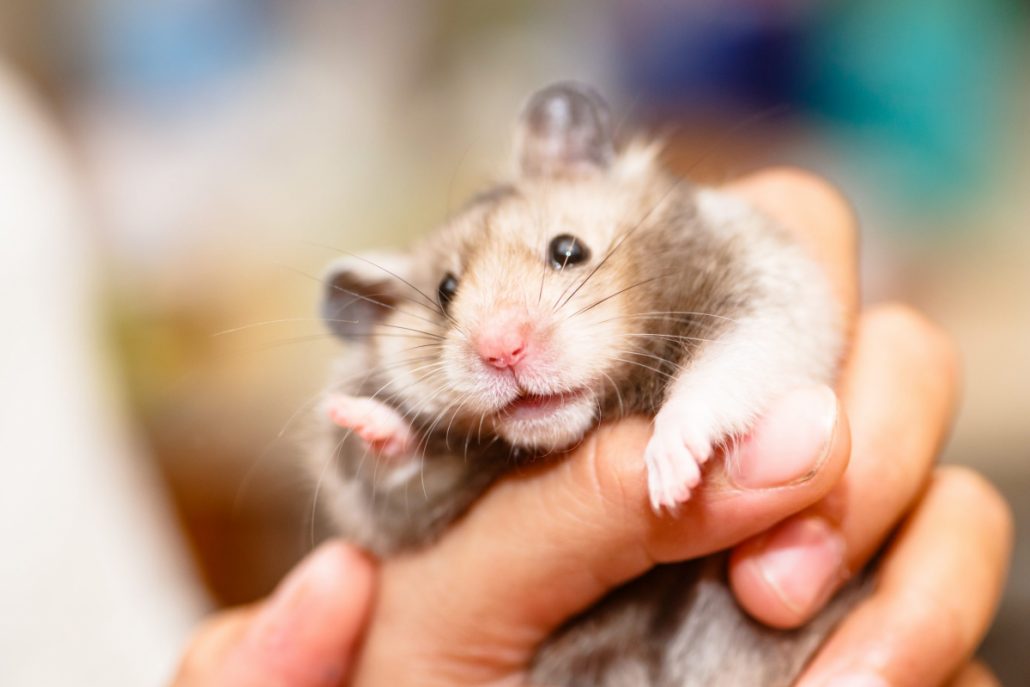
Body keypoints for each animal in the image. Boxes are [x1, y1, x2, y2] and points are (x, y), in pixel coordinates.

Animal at [311, 82, 864, 686]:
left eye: (568, 250)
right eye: (445, 291)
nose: (502, 349)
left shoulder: (763, 286)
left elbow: (722, 370)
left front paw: (669, 479)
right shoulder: (400, 520)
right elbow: (396, 475)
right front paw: (361, 418)